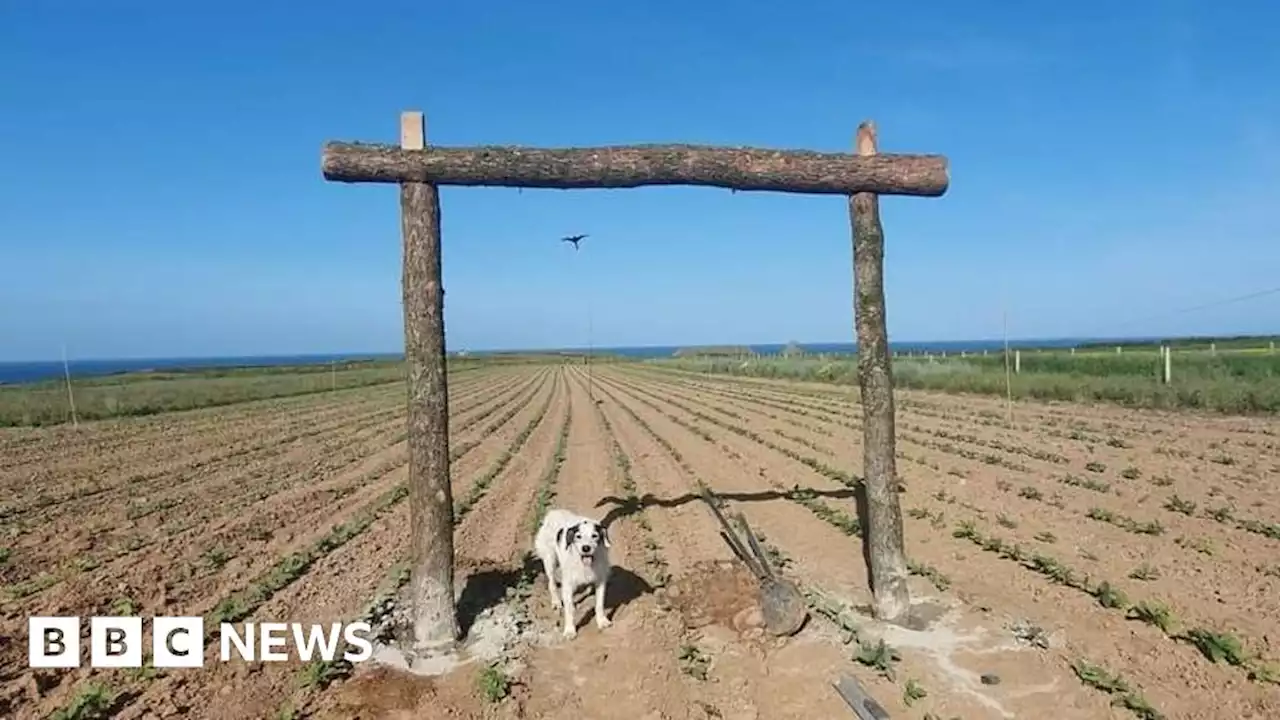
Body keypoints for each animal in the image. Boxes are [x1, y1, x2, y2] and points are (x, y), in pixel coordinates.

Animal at [529, 507, 609, 635]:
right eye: (578, 536)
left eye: (594, 535)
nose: (586, 548)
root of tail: (553, 512)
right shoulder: (568, 583)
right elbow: (569, 609)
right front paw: (570, 630)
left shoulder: (600, 580)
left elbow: (599, 604)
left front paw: (602, 621)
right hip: (550, 560)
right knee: (551, 583)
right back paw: (556, 601)